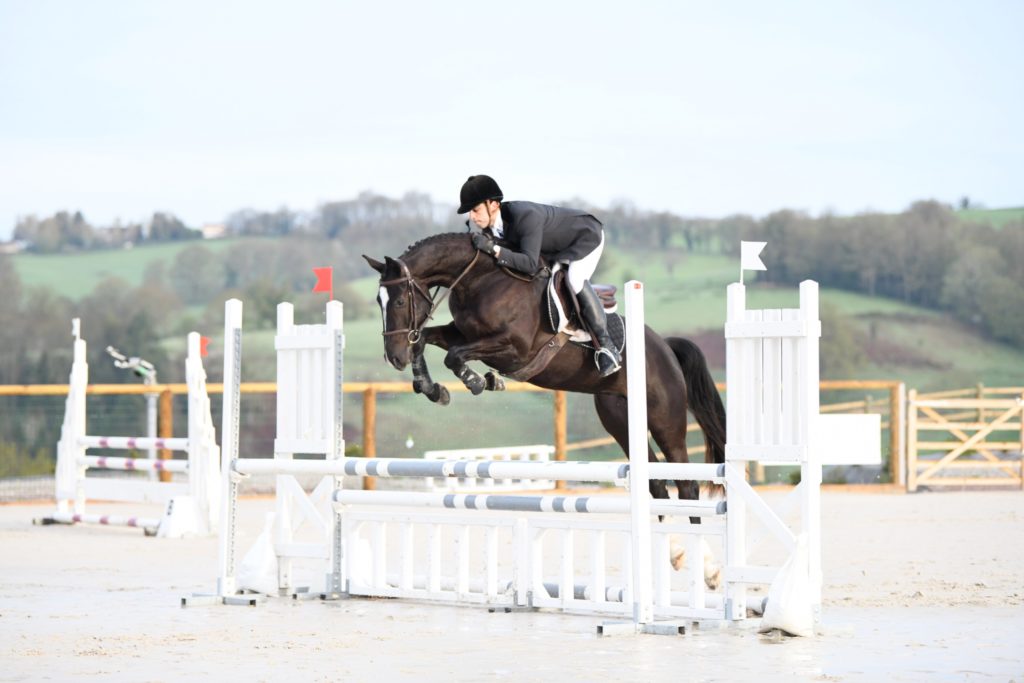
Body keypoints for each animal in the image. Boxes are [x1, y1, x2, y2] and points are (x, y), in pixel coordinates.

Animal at [364, 232, 724, 505]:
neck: (481, 279)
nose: (393, 357)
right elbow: (426, 340)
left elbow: (454, 356)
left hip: (666, 421)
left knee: (687, 483)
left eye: (399, 301)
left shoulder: (515, 349)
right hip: (619, 419)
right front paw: (433, 388)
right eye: (378, 302)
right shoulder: (462, 333)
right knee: (657, 482)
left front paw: (479, 381)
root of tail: (666, 347)